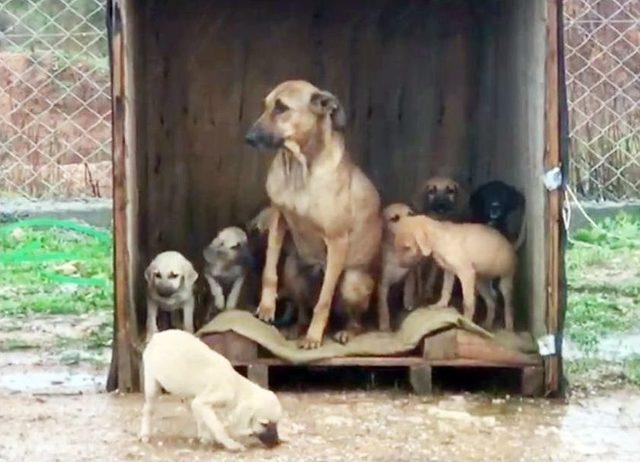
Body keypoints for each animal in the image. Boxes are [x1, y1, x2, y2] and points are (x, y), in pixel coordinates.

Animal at [140, 328, 282, 452]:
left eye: (277, 423)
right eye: (264, 424)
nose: (276, 443)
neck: (236, 386)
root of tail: (157, 335)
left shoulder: (201, 403)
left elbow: (207, 421)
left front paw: (206, 437)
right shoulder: (204, 402)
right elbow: (218, 426)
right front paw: (231, 445)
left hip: (188, 392)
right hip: (152, 383)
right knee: (148, 409)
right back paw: (145, 434)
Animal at [246, 80, 382, 346]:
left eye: (281, 107)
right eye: (266, 105)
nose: (249, 138)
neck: (299, 169)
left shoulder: (337, 242)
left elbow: (323, 301)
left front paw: (313, 337)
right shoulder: (279, 220)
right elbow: (269, 270)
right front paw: (267, 307)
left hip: (353, 282)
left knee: (353, 319)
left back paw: (346, 331)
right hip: (292, 269)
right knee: (302, 309)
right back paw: (296, 328)